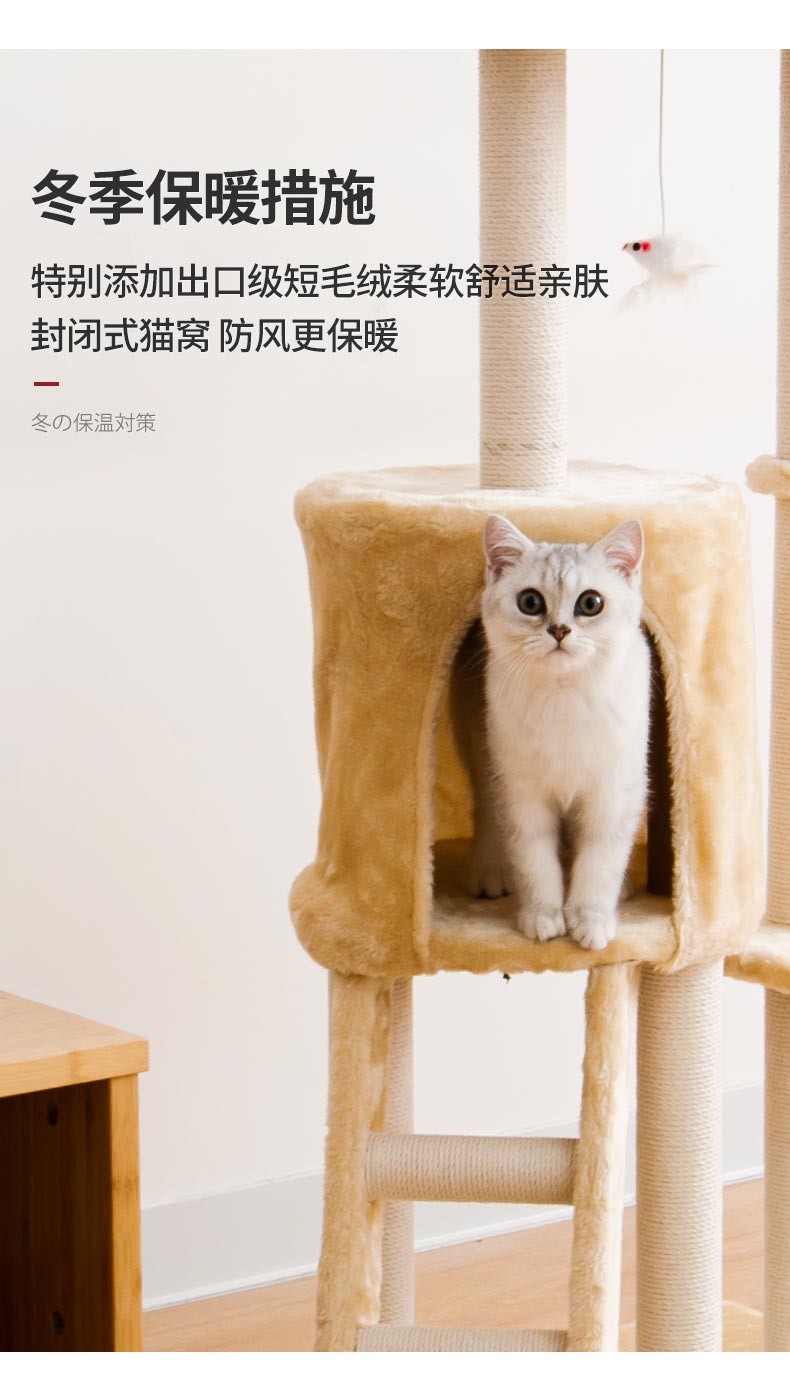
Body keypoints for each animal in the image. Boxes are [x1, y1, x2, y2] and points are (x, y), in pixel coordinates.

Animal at [473, 514, 650, 951]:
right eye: (530, 602)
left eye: (590, 603)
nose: (559, 630)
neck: (565, 697)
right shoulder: (522, 796)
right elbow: (534, 860)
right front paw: (543, 916)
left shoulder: (614, 794)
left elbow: (600, 862)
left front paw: (591, 920)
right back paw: (490, 876)